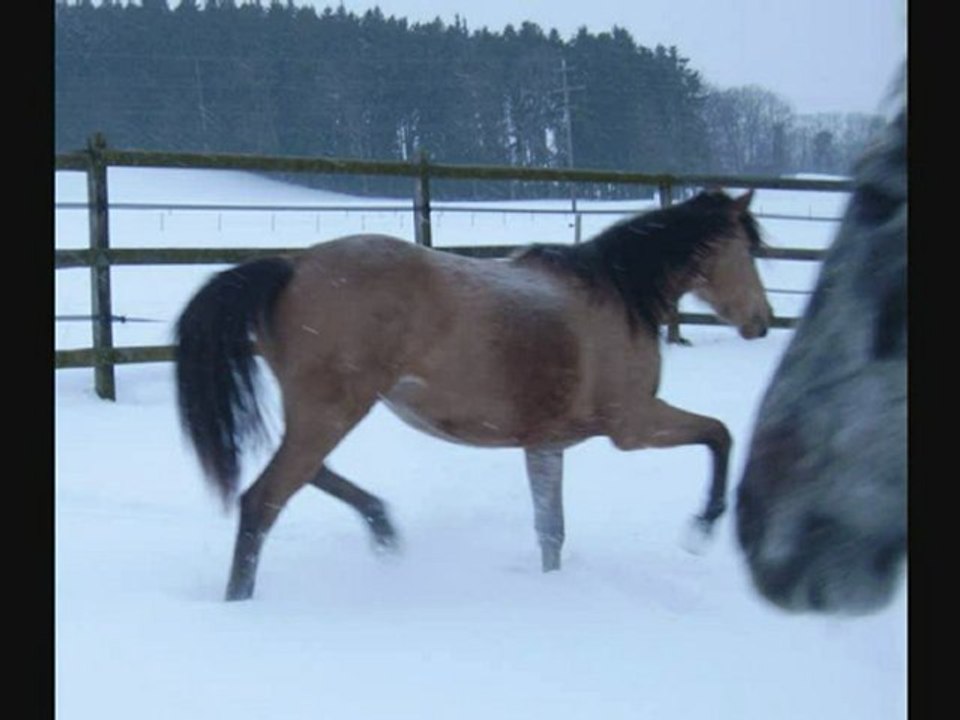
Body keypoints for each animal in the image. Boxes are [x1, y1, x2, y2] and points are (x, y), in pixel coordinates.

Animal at [175, 188, 773, 601]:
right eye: (748, 248)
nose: (762, 321)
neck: (618, 295)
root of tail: (292, 264)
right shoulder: (633, 424)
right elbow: (720, 434)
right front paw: (702, 527)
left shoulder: (546, 443)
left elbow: (551, 532)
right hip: (331, 413)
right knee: (264, 499)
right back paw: (242, 602)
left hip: (324, 415)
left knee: (310, 474)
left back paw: (385, 530)